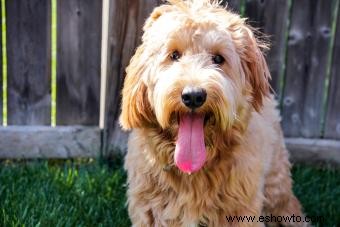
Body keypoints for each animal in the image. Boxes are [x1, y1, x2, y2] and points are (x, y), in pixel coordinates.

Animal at [119, 0, 306, 226]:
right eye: (174, 55)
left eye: (218, 58)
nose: (193, 96)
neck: (193, 170)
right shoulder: (149, 209)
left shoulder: (241, 210)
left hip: (276, 184)